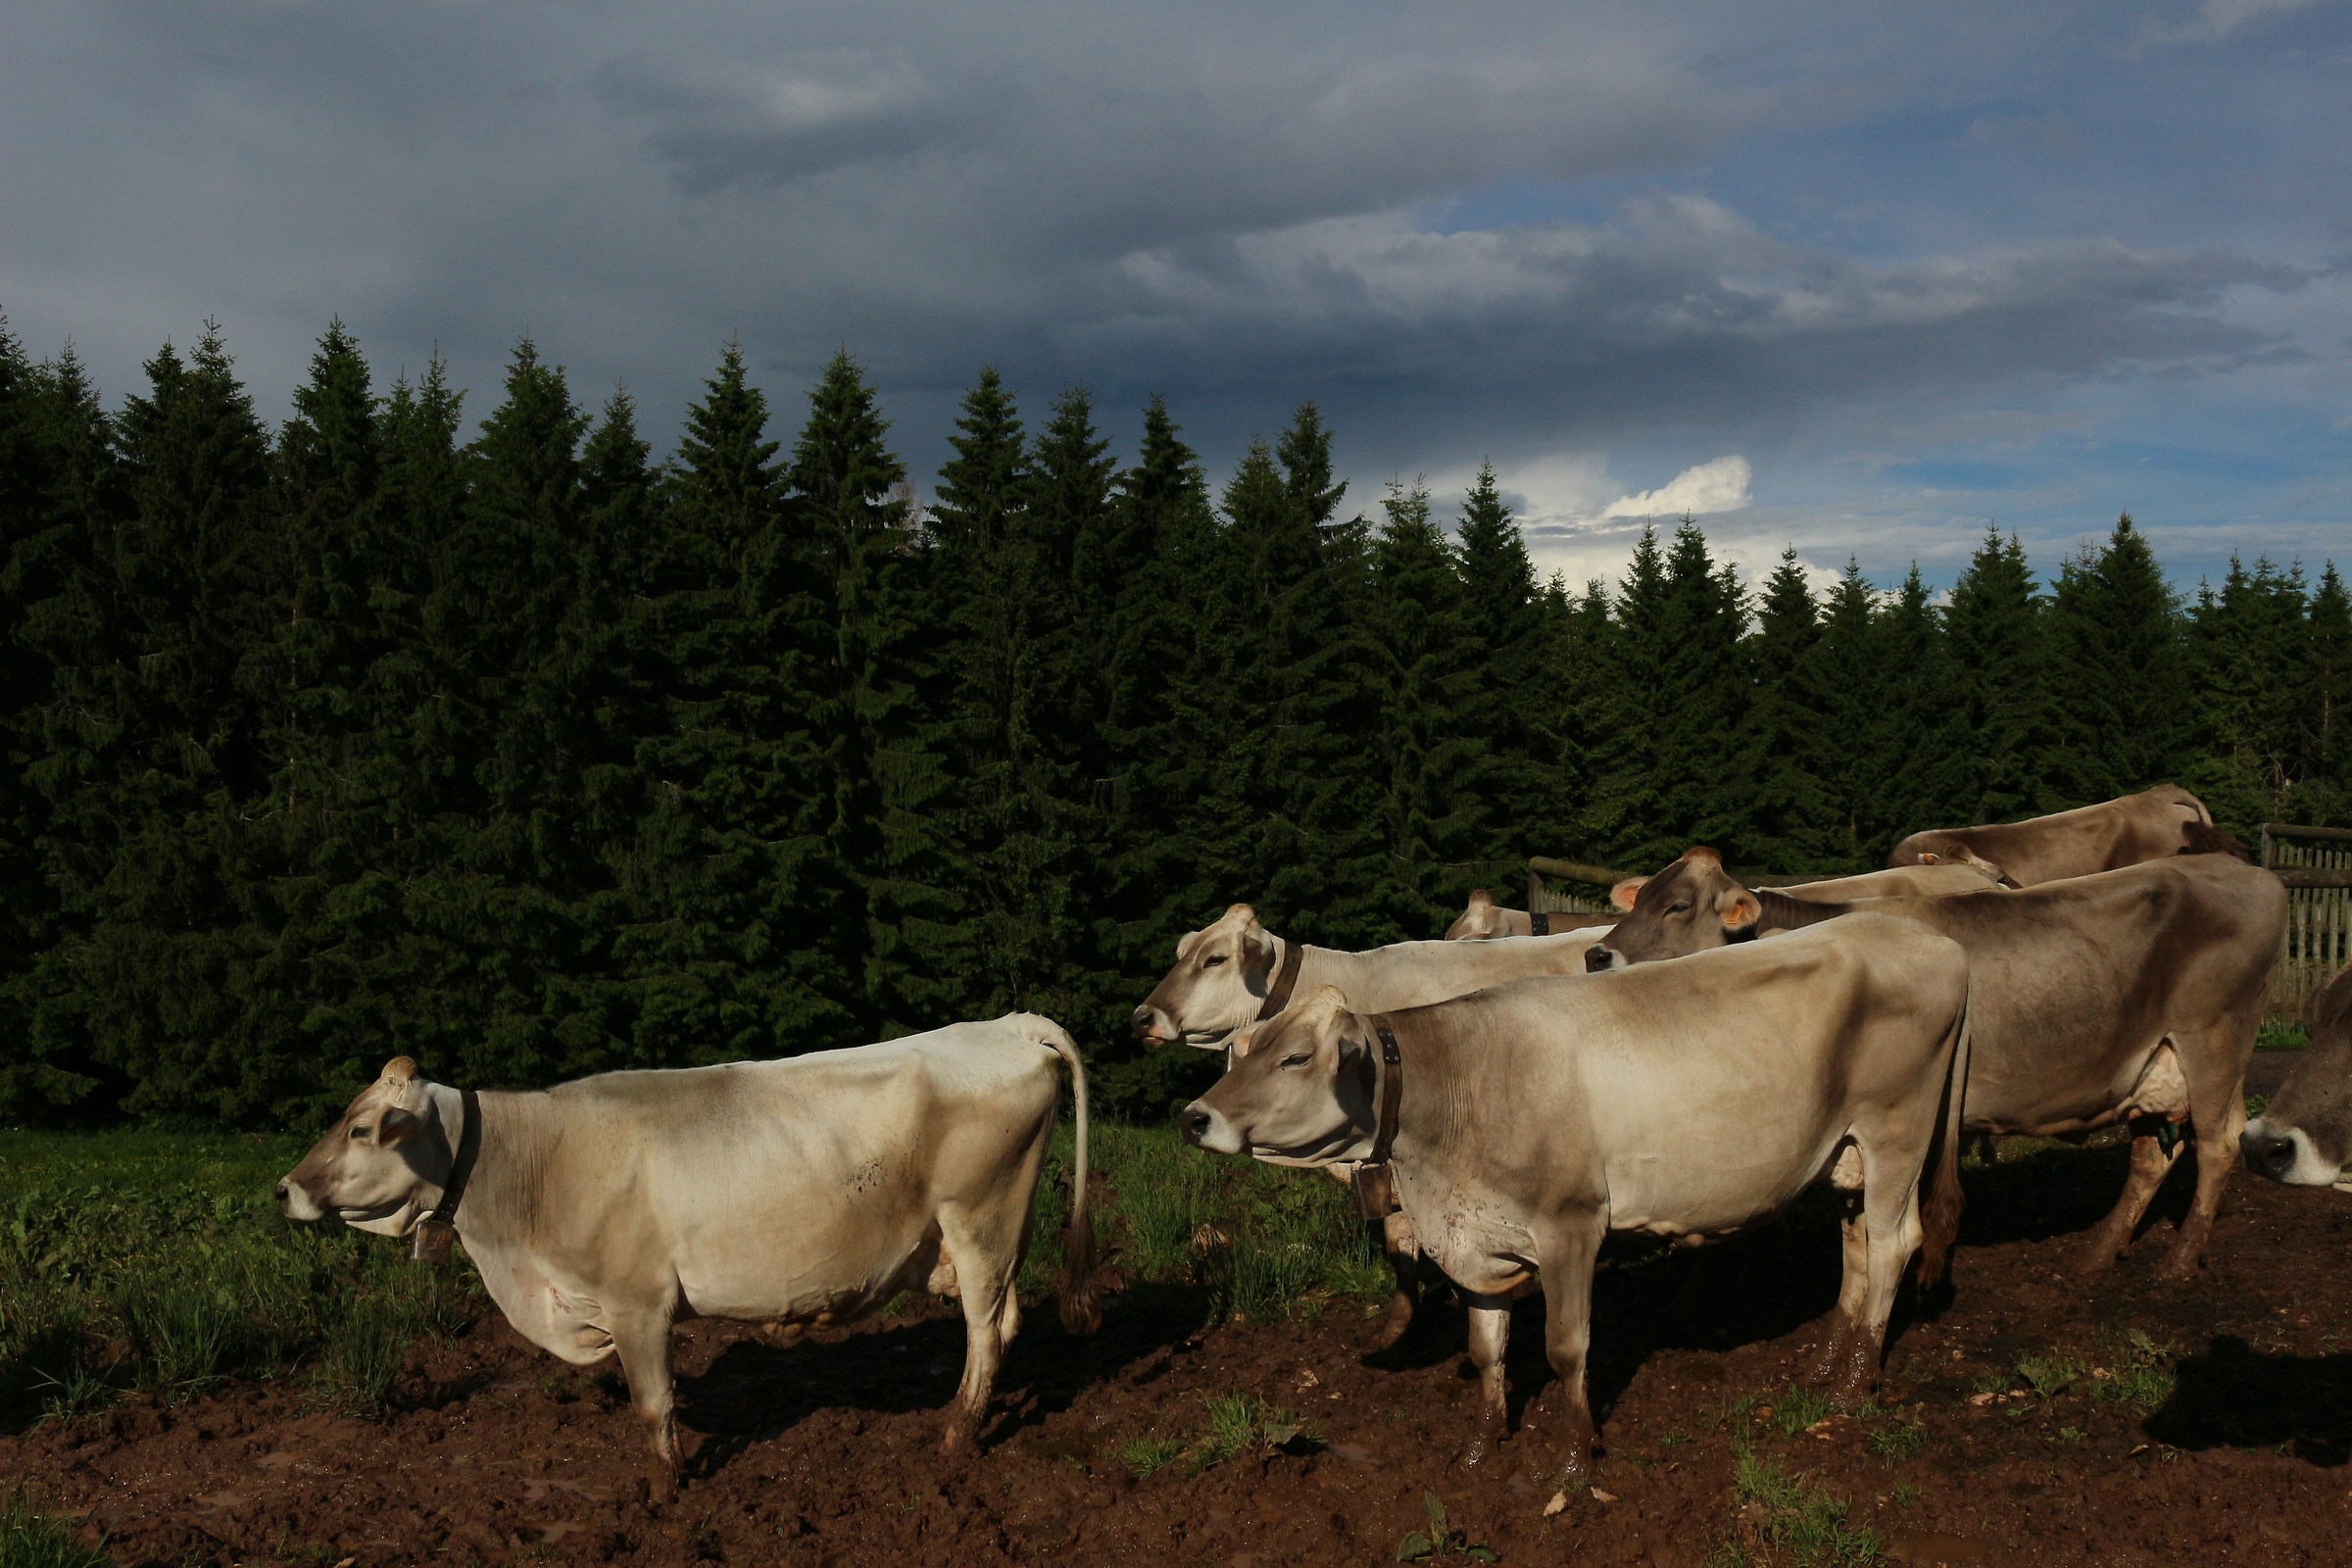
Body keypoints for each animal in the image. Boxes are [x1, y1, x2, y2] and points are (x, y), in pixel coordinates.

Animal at [277, 1015, 1097, 1498]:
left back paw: (954, 1437)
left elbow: (654, 1404)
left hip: (980, 1220)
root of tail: (1007, 1024)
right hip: (996, 1232)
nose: (285, 1188)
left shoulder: (637, 1301)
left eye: (360, 1129)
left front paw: (668, 1490)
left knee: (984, 1331)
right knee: (1005, 1322)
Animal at [1179, 913, 1972, 1481]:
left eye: (1294, 1057)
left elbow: (1566, 1349)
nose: (1194, 1117)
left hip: (1897, 1128)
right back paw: (1830, 1359)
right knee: (1859, 1243)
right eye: (1244, 1052)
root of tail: (1929, 937)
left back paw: (1853, 1387)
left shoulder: (1571, 1226)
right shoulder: (1474, 1235)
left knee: (1896, 1242)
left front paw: (1572, 1459)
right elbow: (1487, 1349)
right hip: (1847, 1154)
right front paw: (1481, 1446)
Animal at [1588, 847, 2285, 1280]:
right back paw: (2097, 1252)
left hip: (2214, 1038)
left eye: (1677, 906)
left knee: (2219, 1142)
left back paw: (2179, 1261)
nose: (1597, 956)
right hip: (2151, 1062)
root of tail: (2250, 873)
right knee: (2153, 1155)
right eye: (1637, 898)